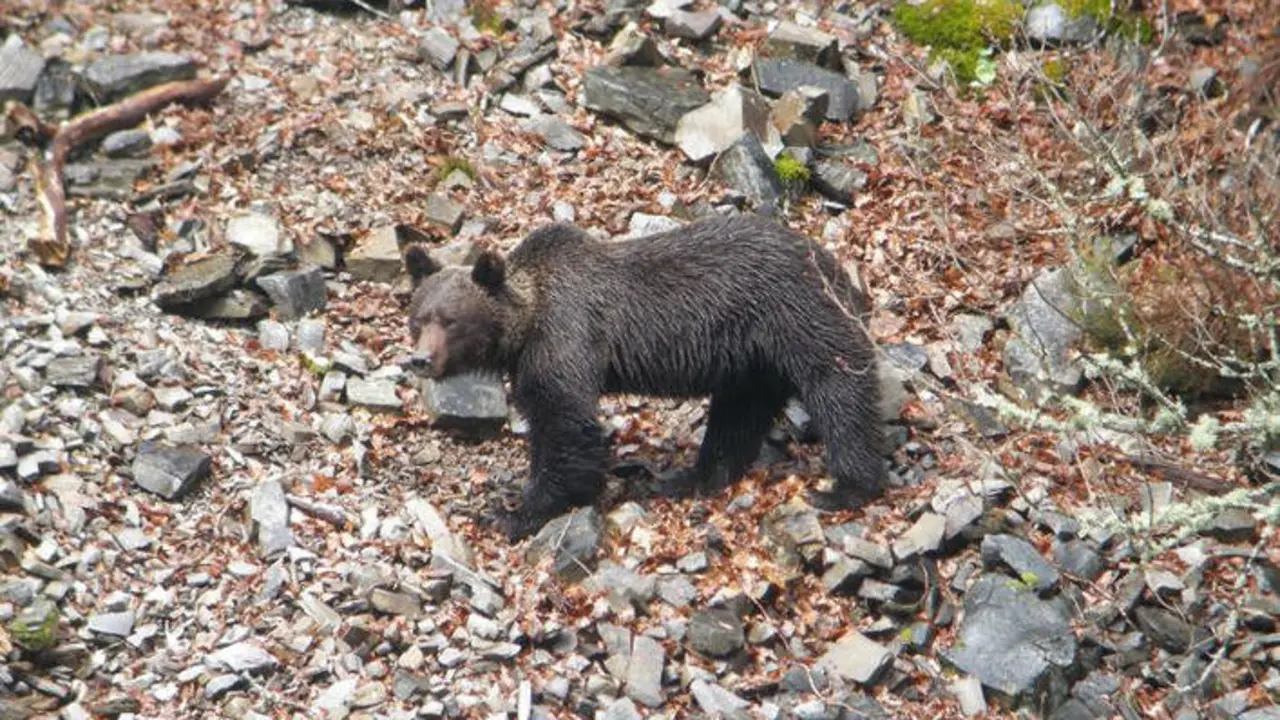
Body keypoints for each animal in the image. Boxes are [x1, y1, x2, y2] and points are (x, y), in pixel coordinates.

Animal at [402, 213, 886, 542]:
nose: (420, 360)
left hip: (794, 313)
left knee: (839, 386)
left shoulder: (565, 337)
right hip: (751, 359)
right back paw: (693, 477)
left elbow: (566, 426)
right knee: (738, 414)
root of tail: (835, 264)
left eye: (451, 321)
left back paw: (847, 486)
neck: (526, 324)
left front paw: (516, 513)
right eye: (418, 317)